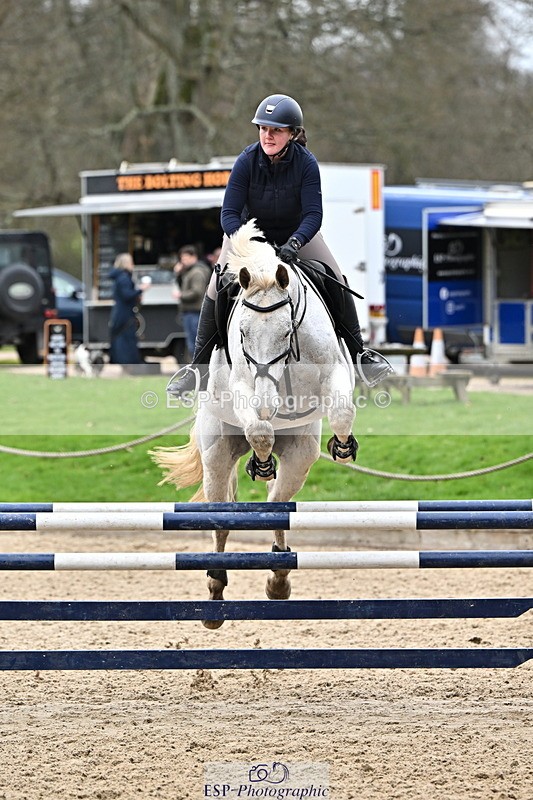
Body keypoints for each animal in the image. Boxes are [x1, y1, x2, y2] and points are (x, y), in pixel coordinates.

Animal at [152, 220, 357, 628]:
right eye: (243, 333)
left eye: (286, 332)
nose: (267, 405)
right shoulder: (241, 388)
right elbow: (259, 430)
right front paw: (261, 458)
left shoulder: (335, 372)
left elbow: (341, 410)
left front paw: (343, 446)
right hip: (216, 458)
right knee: (222, 520)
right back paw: (215, 592)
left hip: (299, 456)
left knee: (277, 505)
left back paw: (278, 579)